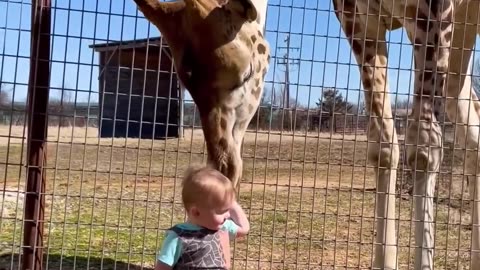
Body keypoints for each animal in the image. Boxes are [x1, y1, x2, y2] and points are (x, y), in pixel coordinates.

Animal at [334, 0, 480, 268]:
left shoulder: (434, 10)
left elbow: (424, 146)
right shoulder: (356, 16)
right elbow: (382, 146)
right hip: (463, 33)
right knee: (473, 131)